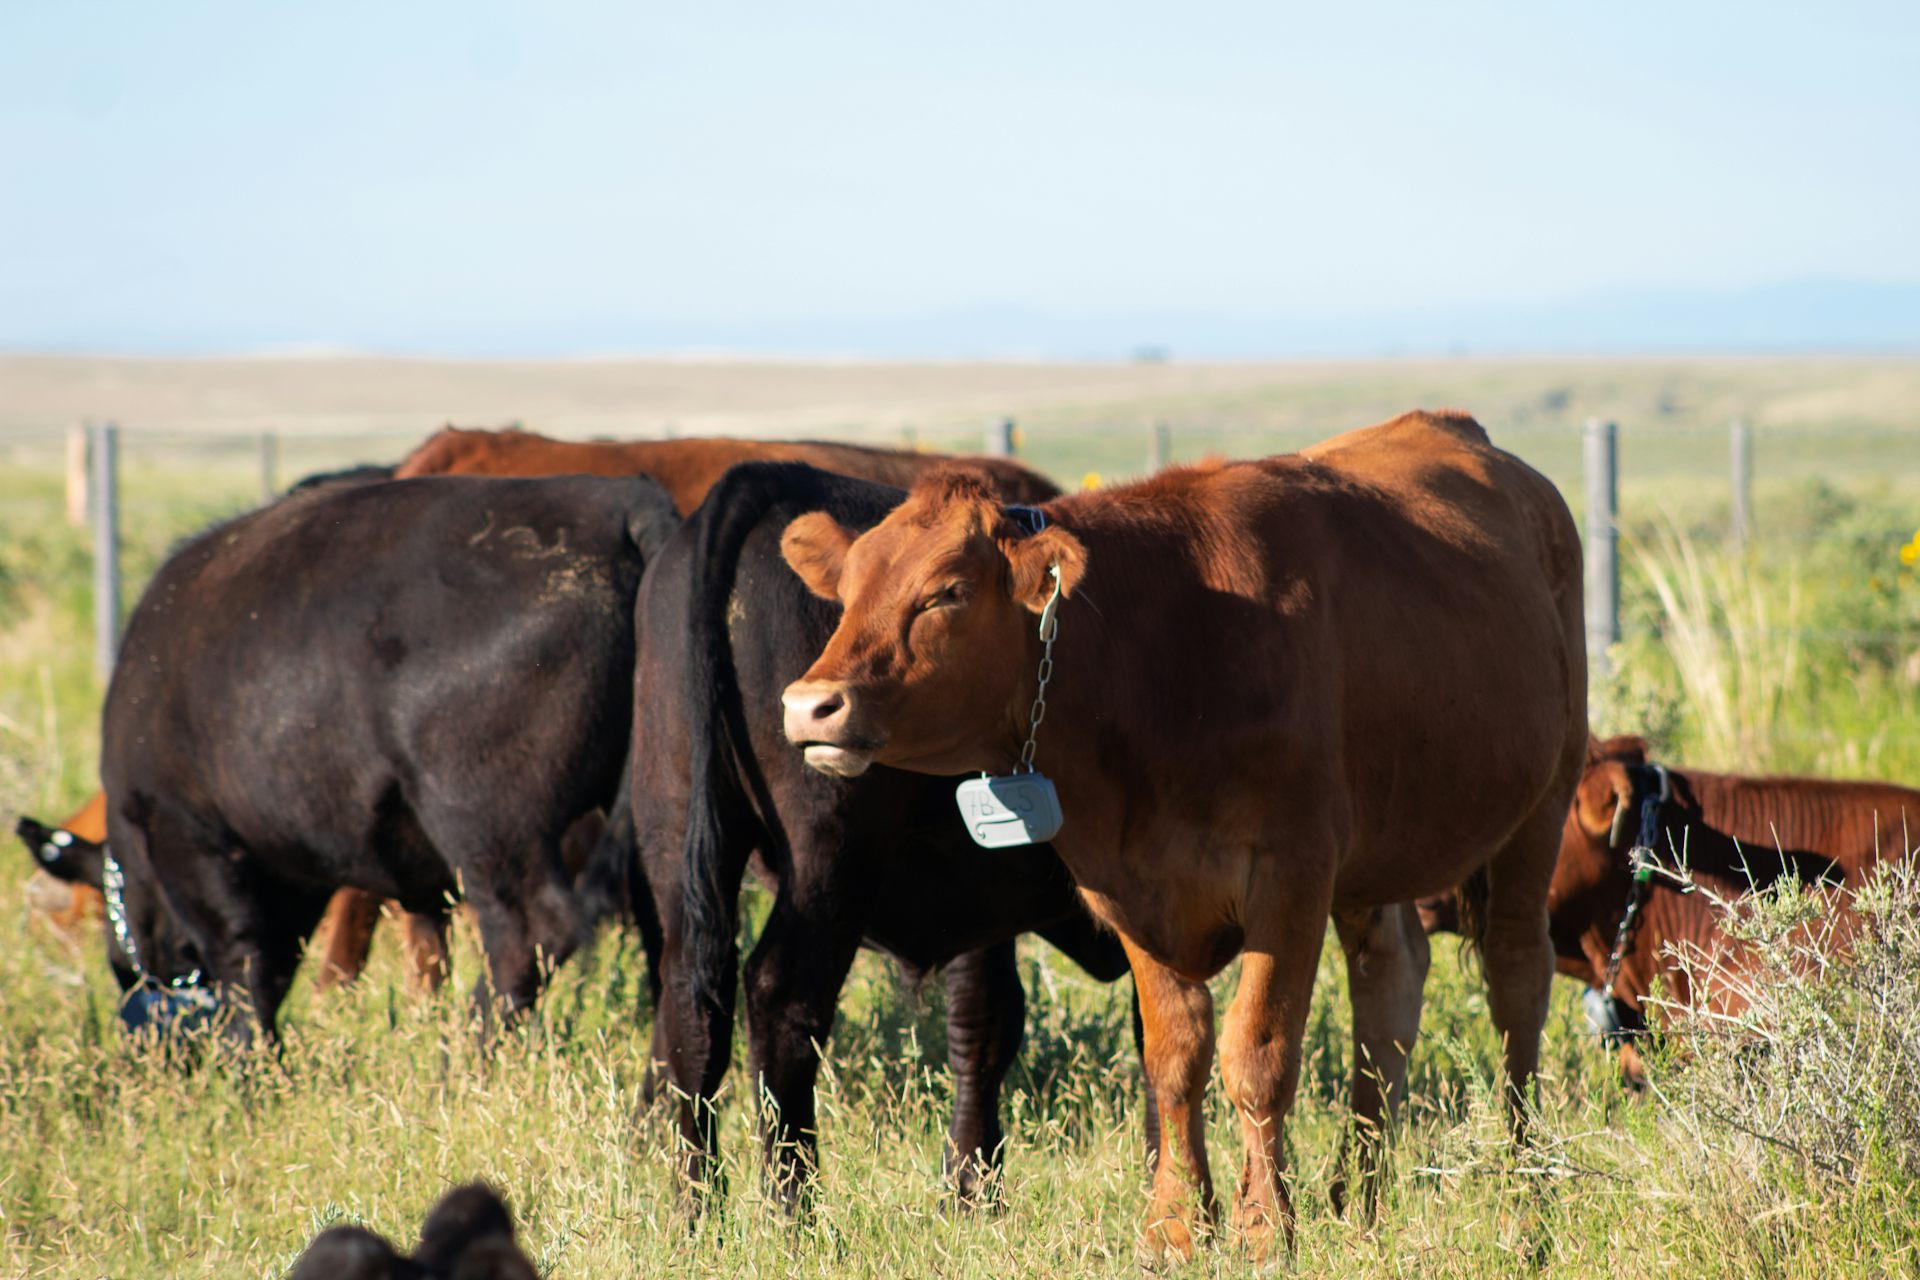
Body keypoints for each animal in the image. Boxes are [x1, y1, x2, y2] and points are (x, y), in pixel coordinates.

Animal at [95, 474, 679, 1035]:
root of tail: (614, 506)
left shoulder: (189, 831)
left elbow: (241, 959)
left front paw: (250, 1054)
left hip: (483, 822)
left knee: (530, 930)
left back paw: (462, 1048)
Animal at [629, 461, 1140, 1207]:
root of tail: (765, 478)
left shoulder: (980, 900)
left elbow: (983, 1022)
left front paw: (972, 1188)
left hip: (676, 827)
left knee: (690, 1004)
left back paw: (695, 1209)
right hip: (828, 855)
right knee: (782, 997)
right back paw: (794, 1208)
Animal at [776, 410, 1588, 1256]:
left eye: (948, 592)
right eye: (847, 592)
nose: (809, 705)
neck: (1161, 656)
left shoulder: (1292, 876)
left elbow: (1257, 1055)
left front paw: (1265, 1227)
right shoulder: (1127, 884)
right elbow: (1174, 1055)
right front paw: (1177, 1223)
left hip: (1544, 800)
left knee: (1517, 982)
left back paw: (1526, 1197)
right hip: (1379, 843)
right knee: (1390, 981)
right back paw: (1356, 1203)